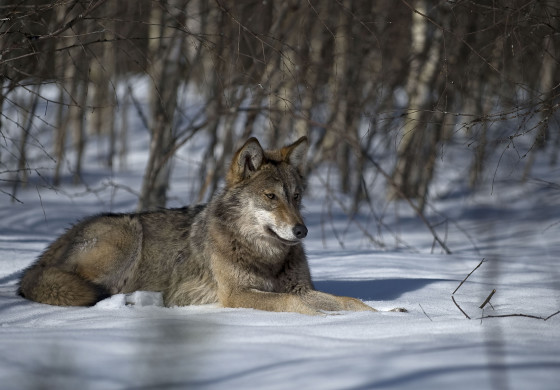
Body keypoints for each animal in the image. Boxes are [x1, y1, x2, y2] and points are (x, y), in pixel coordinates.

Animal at [18, 136, 402, 314]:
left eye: (296, 196)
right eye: (270, 197)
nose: (301, 231)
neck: (265, 255)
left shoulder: (300, 288)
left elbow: (350, 300)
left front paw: (386, 314)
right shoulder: (238, 294)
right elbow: (297, 306)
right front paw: (326, 321)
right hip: (126, 235)